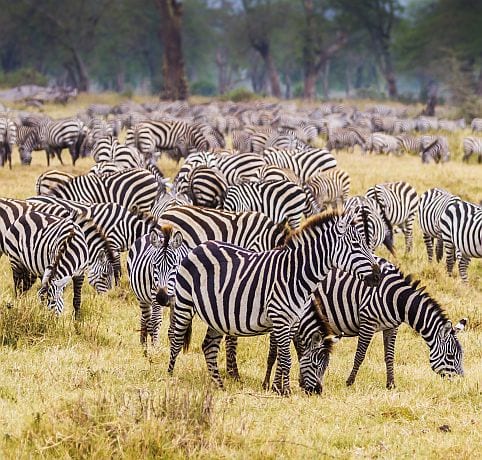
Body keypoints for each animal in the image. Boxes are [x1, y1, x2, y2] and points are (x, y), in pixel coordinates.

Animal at [168, 212, 382, 396]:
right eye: (355, 245)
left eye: (326, 366)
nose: (378, 275)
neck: (296, 276)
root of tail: (200, 245)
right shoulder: (279, 318)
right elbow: (286, 358)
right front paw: (284, 390)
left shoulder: (293, 322)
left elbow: (283, 355)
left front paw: (278, 387)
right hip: (184, 304)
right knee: (176, 340)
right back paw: (169, 378)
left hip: (216, 316)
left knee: (209, 347)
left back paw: (218, 385)